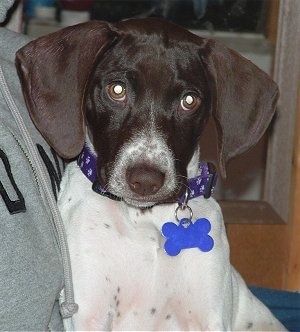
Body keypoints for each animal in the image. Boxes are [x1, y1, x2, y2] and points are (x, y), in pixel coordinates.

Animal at [14, 18, 286, 332]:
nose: (145, 180)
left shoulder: (208, 318)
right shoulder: (90, 314)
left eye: (189, 100)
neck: (146, 219)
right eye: (116, 90)